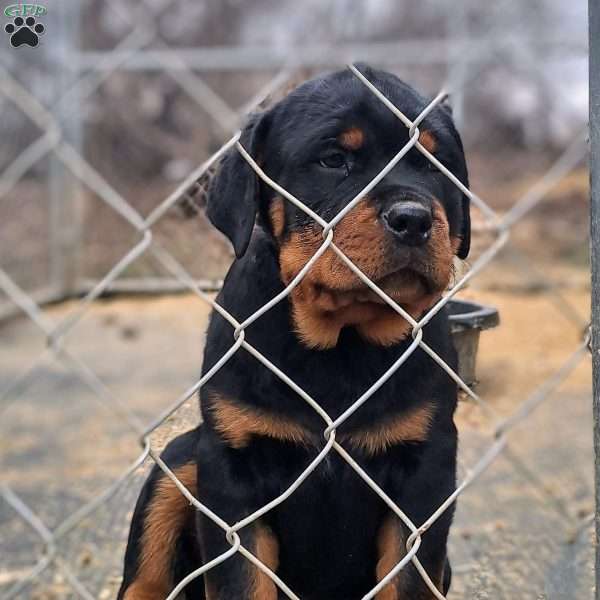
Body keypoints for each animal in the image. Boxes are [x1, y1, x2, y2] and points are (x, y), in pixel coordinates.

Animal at [119, 63, 472, 596]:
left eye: (436, 167)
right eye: (333, 160)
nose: (413, 218)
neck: (342, 340)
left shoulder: (425, 466)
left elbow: (407, 579)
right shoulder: (231, 466)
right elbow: (243, 581)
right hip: (180, 462)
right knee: (145, 577)